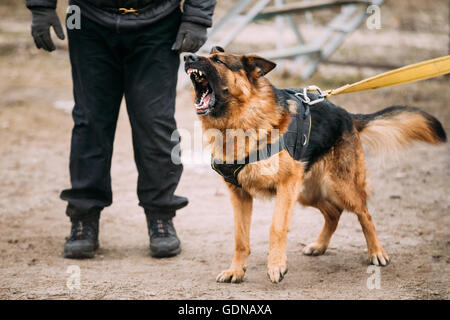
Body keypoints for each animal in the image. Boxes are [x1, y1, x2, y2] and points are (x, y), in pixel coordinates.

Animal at [183, 47, 446, 282]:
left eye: (218, 60)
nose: (187, 57)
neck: (240, 121)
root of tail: (348, 116)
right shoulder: (239, 194)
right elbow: (240, 238)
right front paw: (236, 271)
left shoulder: (285, 185)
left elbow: (276, 227)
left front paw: (276, 265)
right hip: (306, 193)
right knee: (333, 213)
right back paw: (320, 245)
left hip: (339, 186)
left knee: (364, 213)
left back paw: (376, 252)